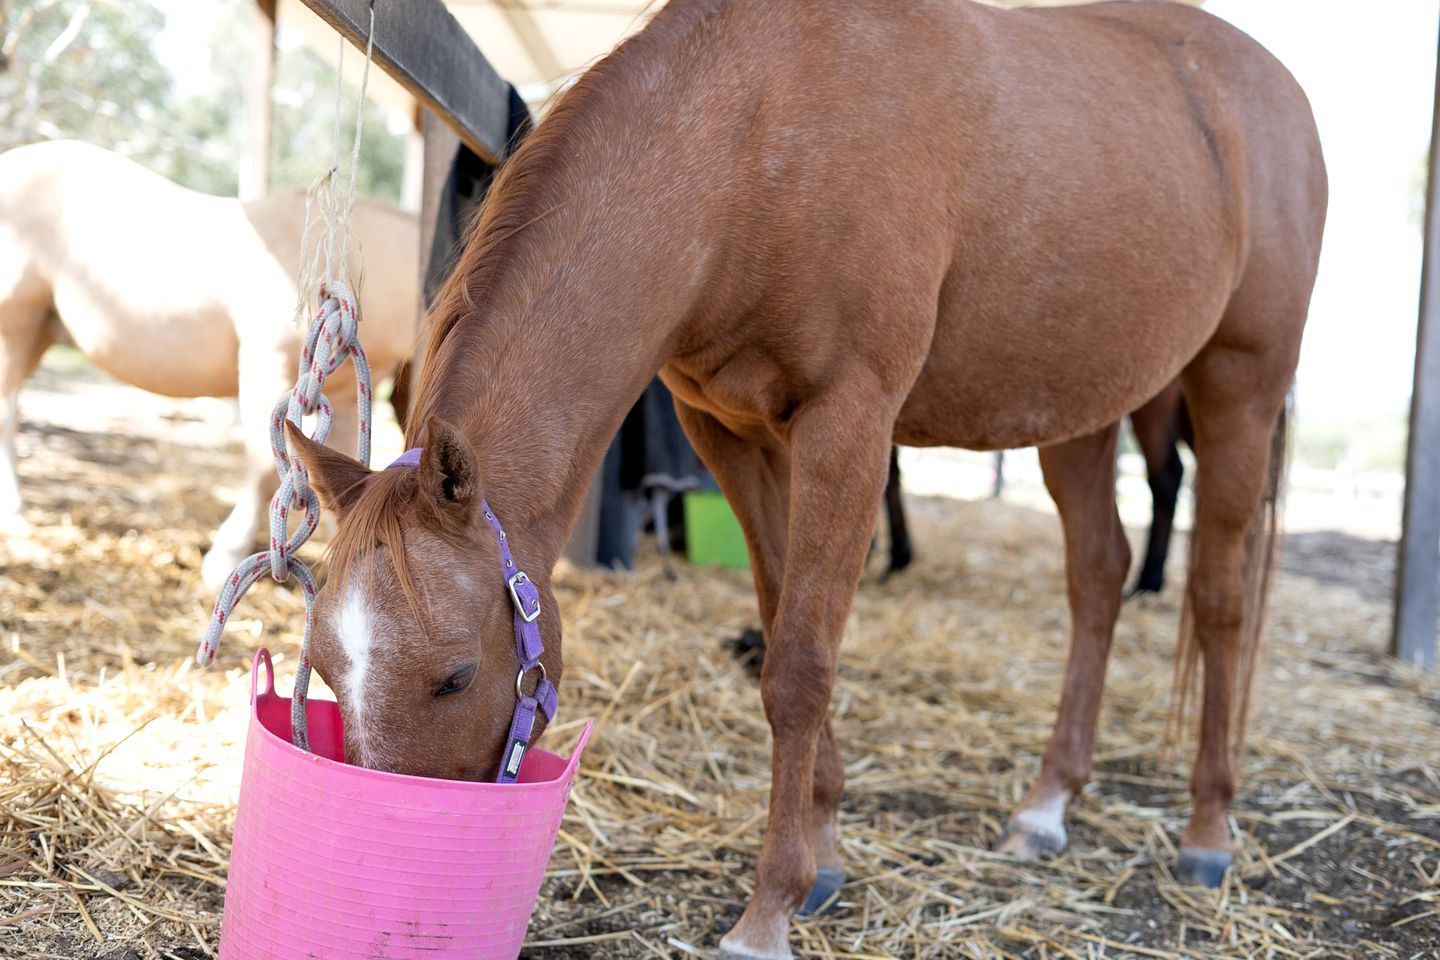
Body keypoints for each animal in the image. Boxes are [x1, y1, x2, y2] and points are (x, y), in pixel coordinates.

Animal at [0, 139, 417, 587]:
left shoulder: (341, 397)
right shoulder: (269, 368)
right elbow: (263, 466)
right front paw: (225, 555)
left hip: (38, 333)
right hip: (15, 327)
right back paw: (15, 515)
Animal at [283, 3, 1324, 955]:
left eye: (456, 676)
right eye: (326, 667)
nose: (389, 860)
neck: (754, 136)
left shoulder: (849, 425)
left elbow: (800, 666)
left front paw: (769, 910)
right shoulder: (732, 434)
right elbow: (784, 617)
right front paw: (823, 858)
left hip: (1240, 388)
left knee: (1220, 599)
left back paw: (1208, 830)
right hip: (1079, 408)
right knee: (1098, 578)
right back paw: (1046, 806)